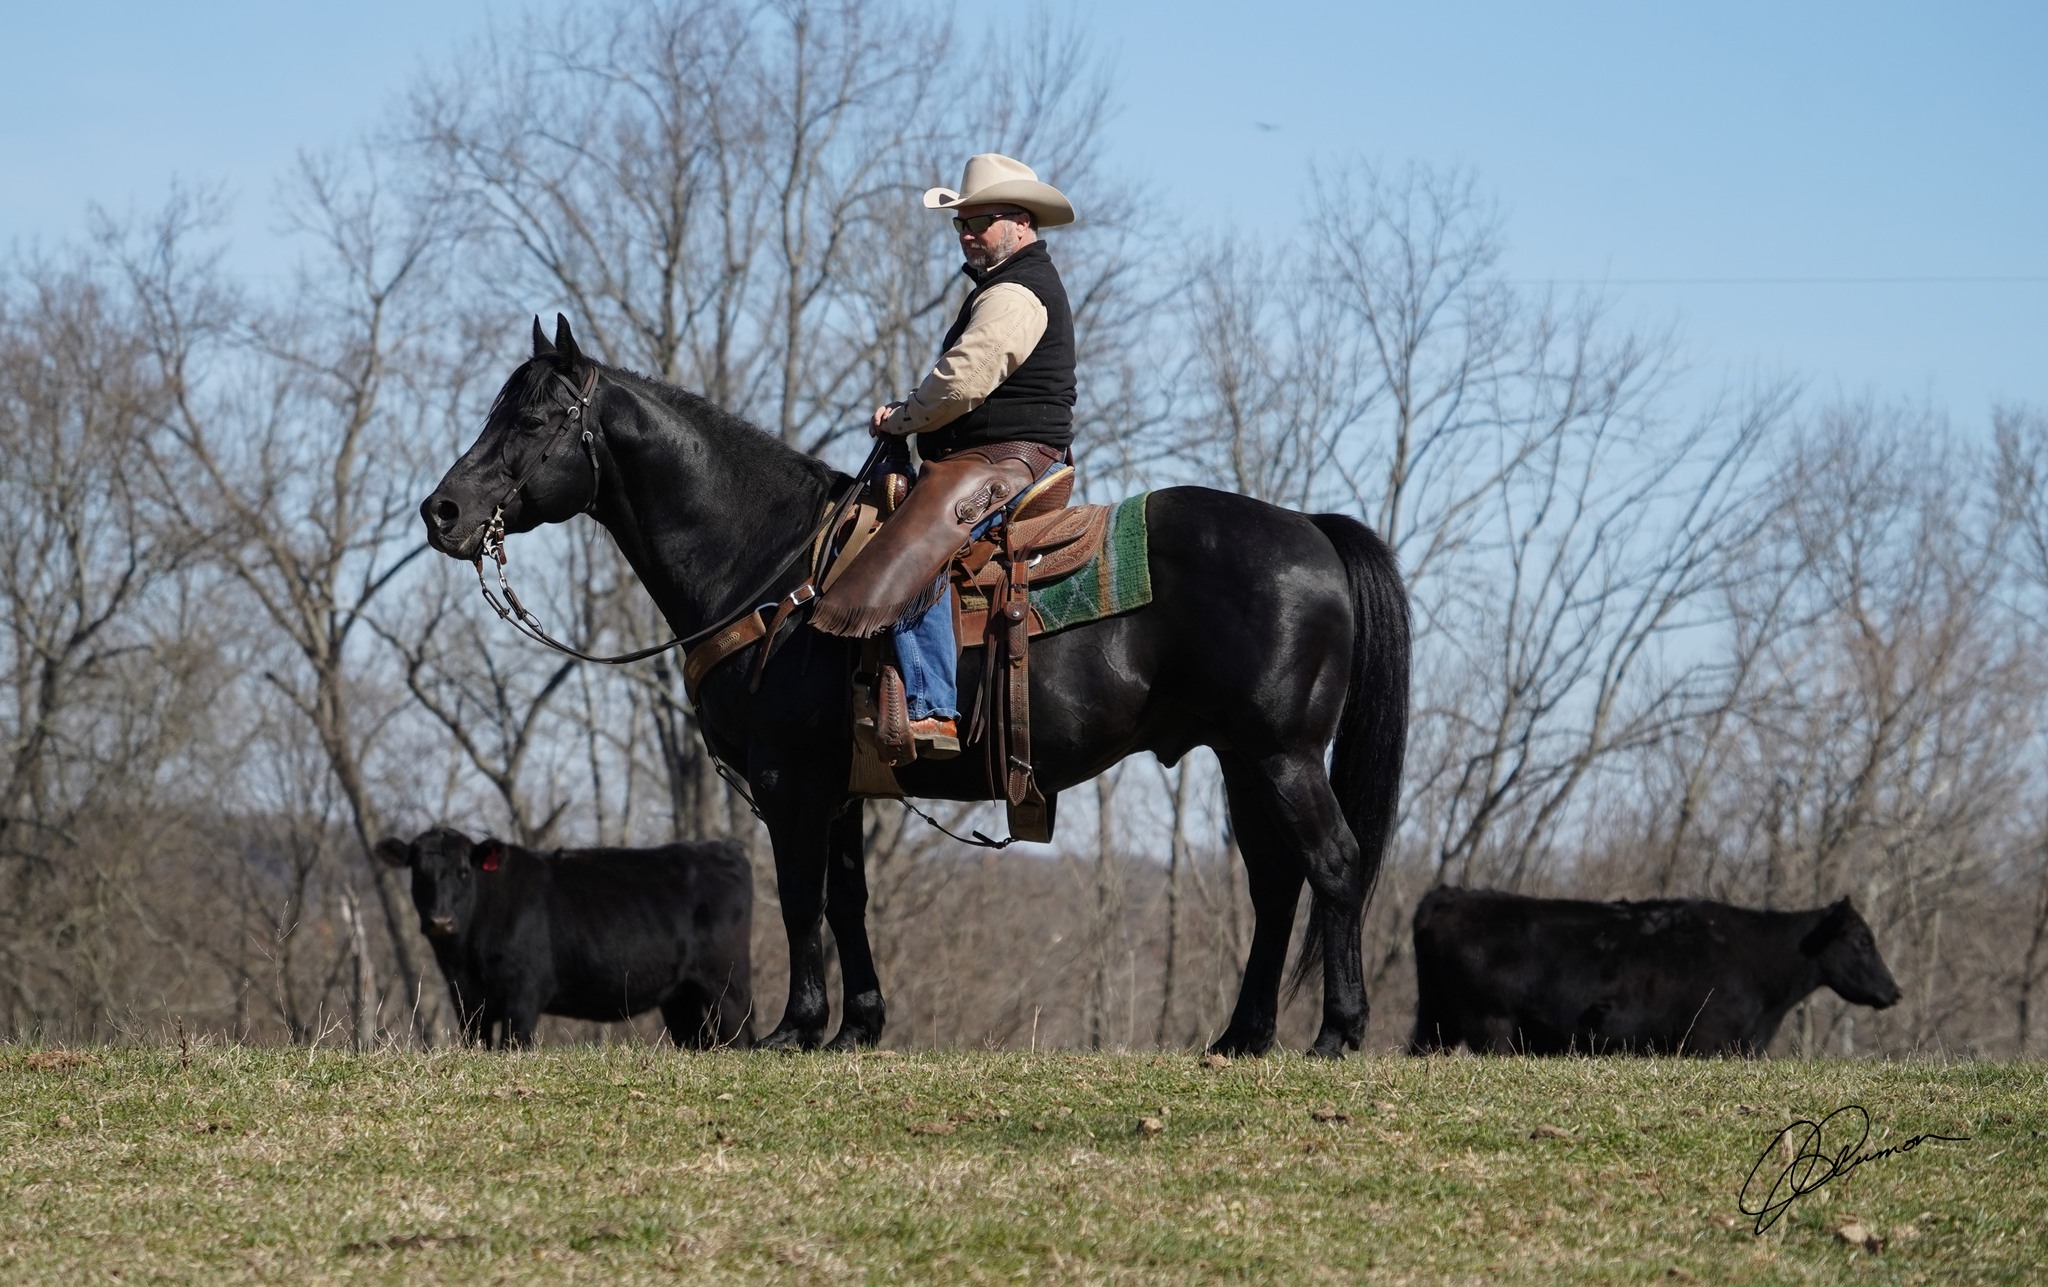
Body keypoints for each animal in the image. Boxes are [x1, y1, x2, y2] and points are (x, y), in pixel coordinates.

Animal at [420, 316, 1409, 1057]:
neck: (774, 566)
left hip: (1282, 755)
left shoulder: (788, 779)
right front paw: (858, 1026)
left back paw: (1336, 1033)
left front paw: (795, 1027)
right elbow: (847, 897)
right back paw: (1242, 1036)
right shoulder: (841, 784)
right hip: (1245, 758)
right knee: (1276, 881)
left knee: (1333, 863)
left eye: (535, 419)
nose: (443, 511)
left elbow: (800, 895)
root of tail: (1309, 529)